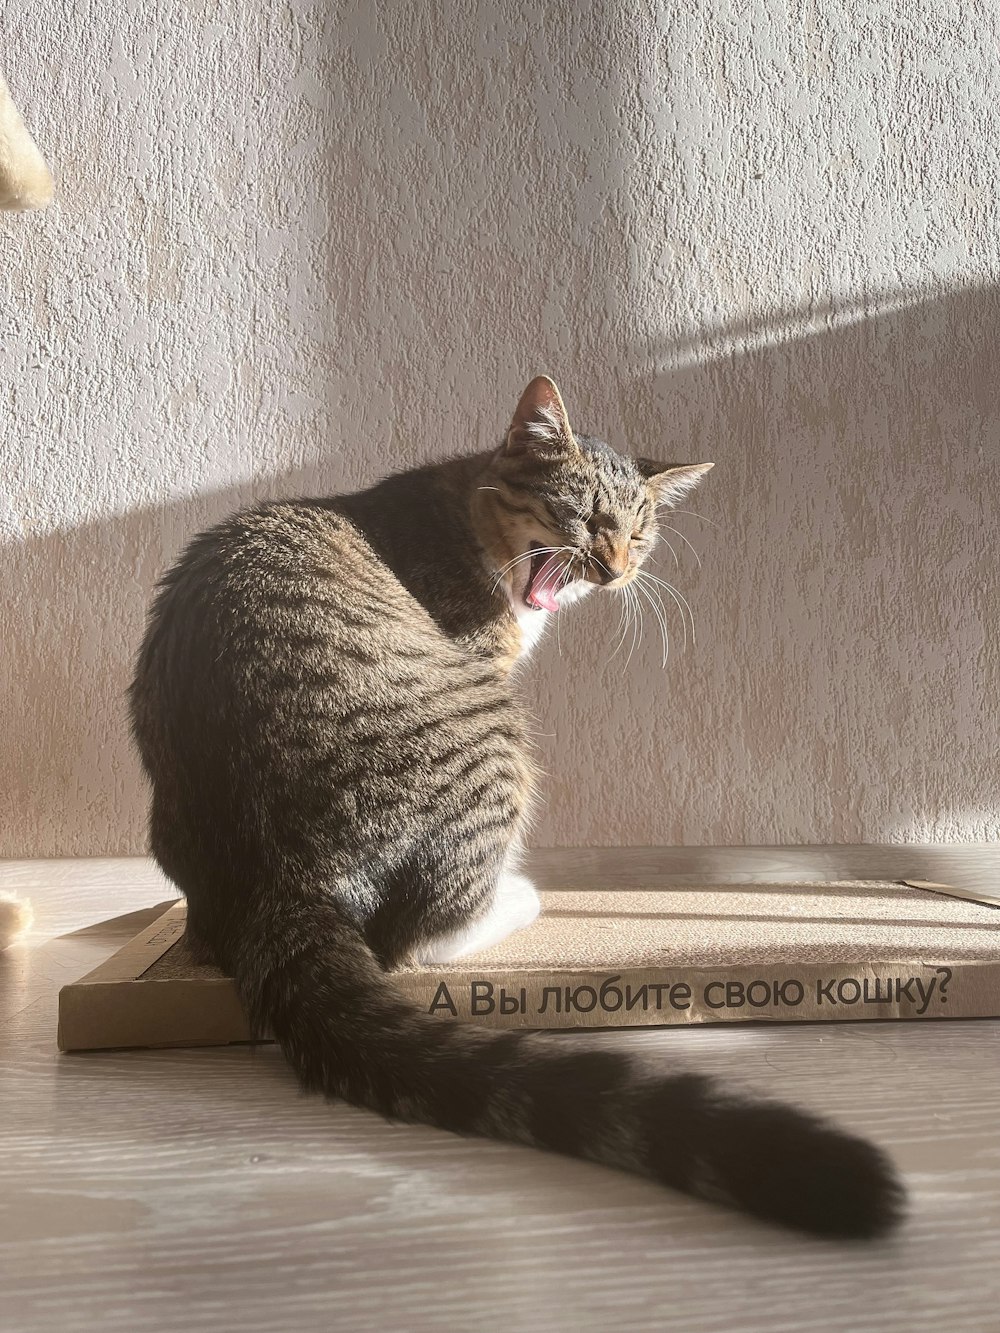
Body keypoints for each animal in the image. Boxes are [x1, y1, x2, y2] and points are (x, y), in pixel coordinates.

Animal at [129, 375, 906, 1237]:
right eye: (586, 518)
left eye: (641, 535)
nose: (614, 571)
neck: (468, 521)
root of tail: (269, 874)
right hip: (495, 739)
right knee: (414, 937)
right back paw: (519, 894)